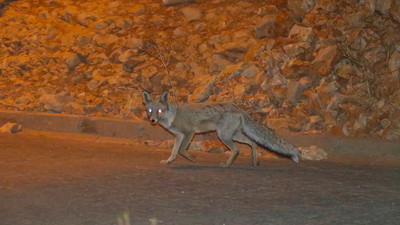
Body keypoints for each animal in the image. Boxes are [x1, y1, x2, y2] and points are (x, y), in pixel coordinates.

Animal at [141, 90, 300, 167]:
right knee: (253, 143)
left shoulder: (189, 133)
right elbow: (174, 153)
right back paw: (254, 161)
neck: (172, 116)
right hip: (233, 135)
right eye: (149, 110)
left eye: (159, 111)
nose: (152, 120)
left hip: (223, 136)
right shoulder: (178, 136)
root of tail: (238, 108)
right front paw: (168, 162)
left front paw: (191, 158)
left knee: (236, 150)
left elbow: (181, 151)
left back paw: (227, 164)